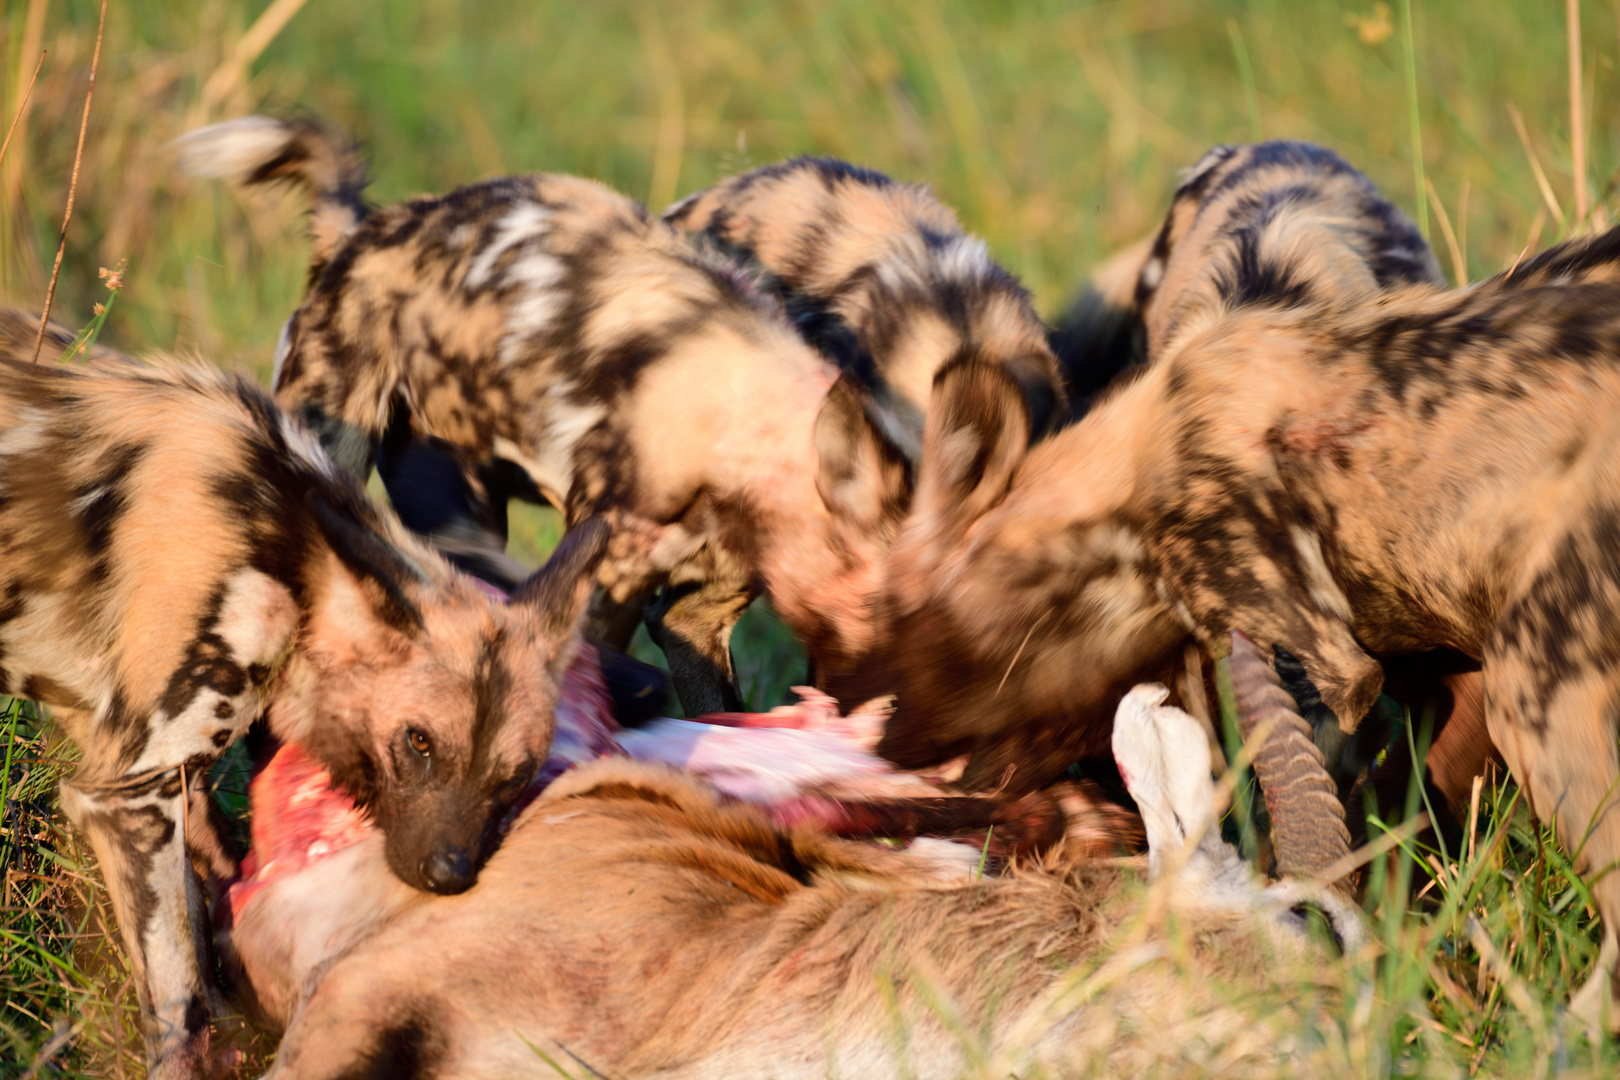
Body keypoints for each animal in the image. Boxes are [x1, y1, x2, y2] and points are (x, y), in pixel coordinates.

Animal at [0, 354, 609, 1075]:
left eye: (516, 776)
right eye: (419, 742)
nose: (451, 876)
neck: (288, 552)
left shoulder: (158, 775)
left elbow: (212, 930)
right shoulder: (126, 797)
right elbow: (183, 1002)